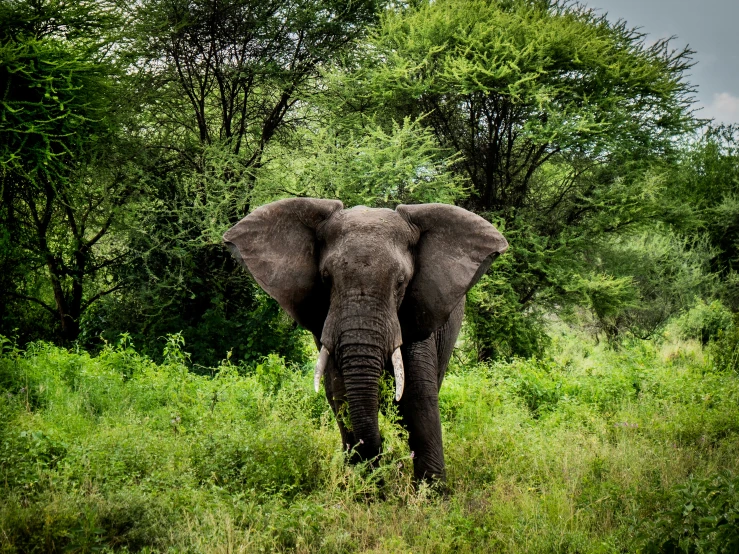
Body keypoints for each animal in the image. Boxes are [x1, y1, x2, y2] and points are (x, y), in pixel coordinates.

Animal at [223, 197, 506, 478]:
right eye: (326, 278)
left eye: (401, 282)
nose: (382, 450)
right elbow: (341, 394)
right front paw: (366, 481)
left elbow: (417, 398)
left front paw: (432, 488)